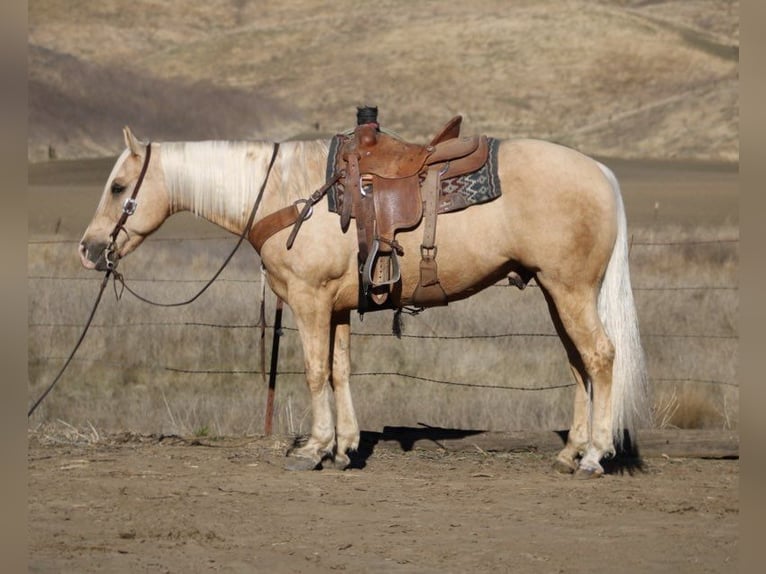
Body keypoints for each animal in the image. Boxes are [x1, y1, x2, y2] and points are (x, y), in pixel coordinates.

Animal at [79, 125, 649, 477]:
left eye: (118, 186)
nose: (88, 249)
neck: (289, 193)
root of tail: (600, 172)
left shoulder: (309, 301)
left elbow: (314, 372)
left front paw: (313, 449)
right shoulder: (336, 306)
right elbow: (339, 370)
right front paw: (343, 448)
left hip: (570, 290)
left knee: (601, 357)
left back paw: (595, 456)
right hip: (557, 292)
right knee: (578, 364)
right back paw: (570, 452)